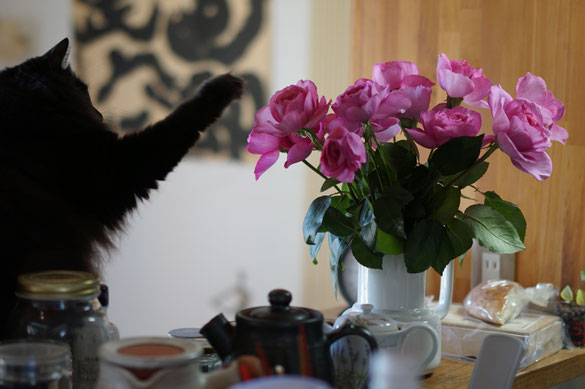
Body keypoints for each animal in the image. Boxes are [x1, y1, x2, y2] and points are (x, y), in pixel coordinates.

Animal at [0, 37, 242, 330]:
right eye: (83, 91)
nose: (99, 114)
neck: (29, 108)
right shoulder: (116, 170)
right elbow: (182, 118)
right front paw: (223, 84)